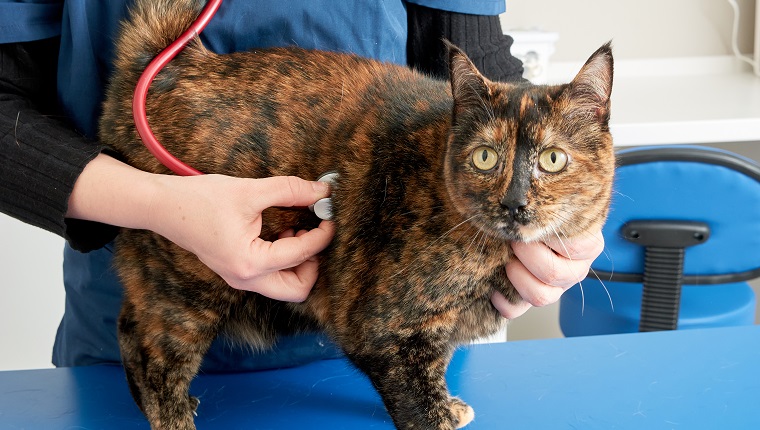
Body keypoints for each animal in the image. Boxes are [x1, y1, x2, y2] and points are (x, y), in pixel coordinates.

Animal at [101, 0, 616, 430]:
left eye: (553, 159)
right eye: (486, 158)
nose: (514, 202)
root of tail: (175, 66)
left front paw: (449, 404)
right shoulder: (384, 331)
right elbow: (418, 401)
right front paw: (440, 416)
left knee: (128, 327)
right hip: (187, 282)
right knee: (151, 351)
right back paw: (172, 415)